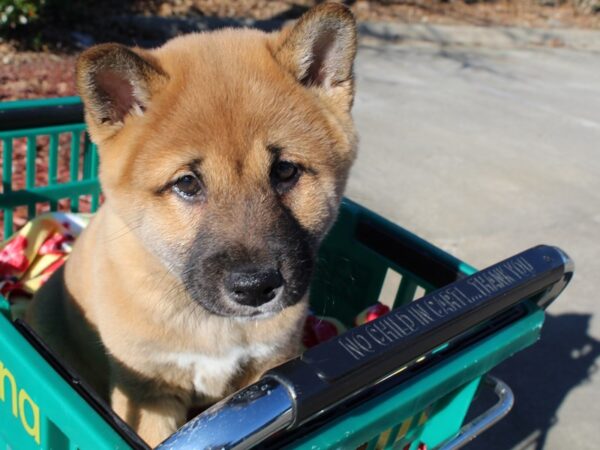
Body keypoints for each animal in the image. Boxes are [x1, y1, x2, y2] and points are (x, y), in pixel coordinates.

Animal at [27, 3, 356, 446]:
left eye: (285, 171)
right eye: (187, 183)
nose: (256, 288)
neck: (211, 325)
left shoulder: (266, 366)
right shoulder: (148, 393)